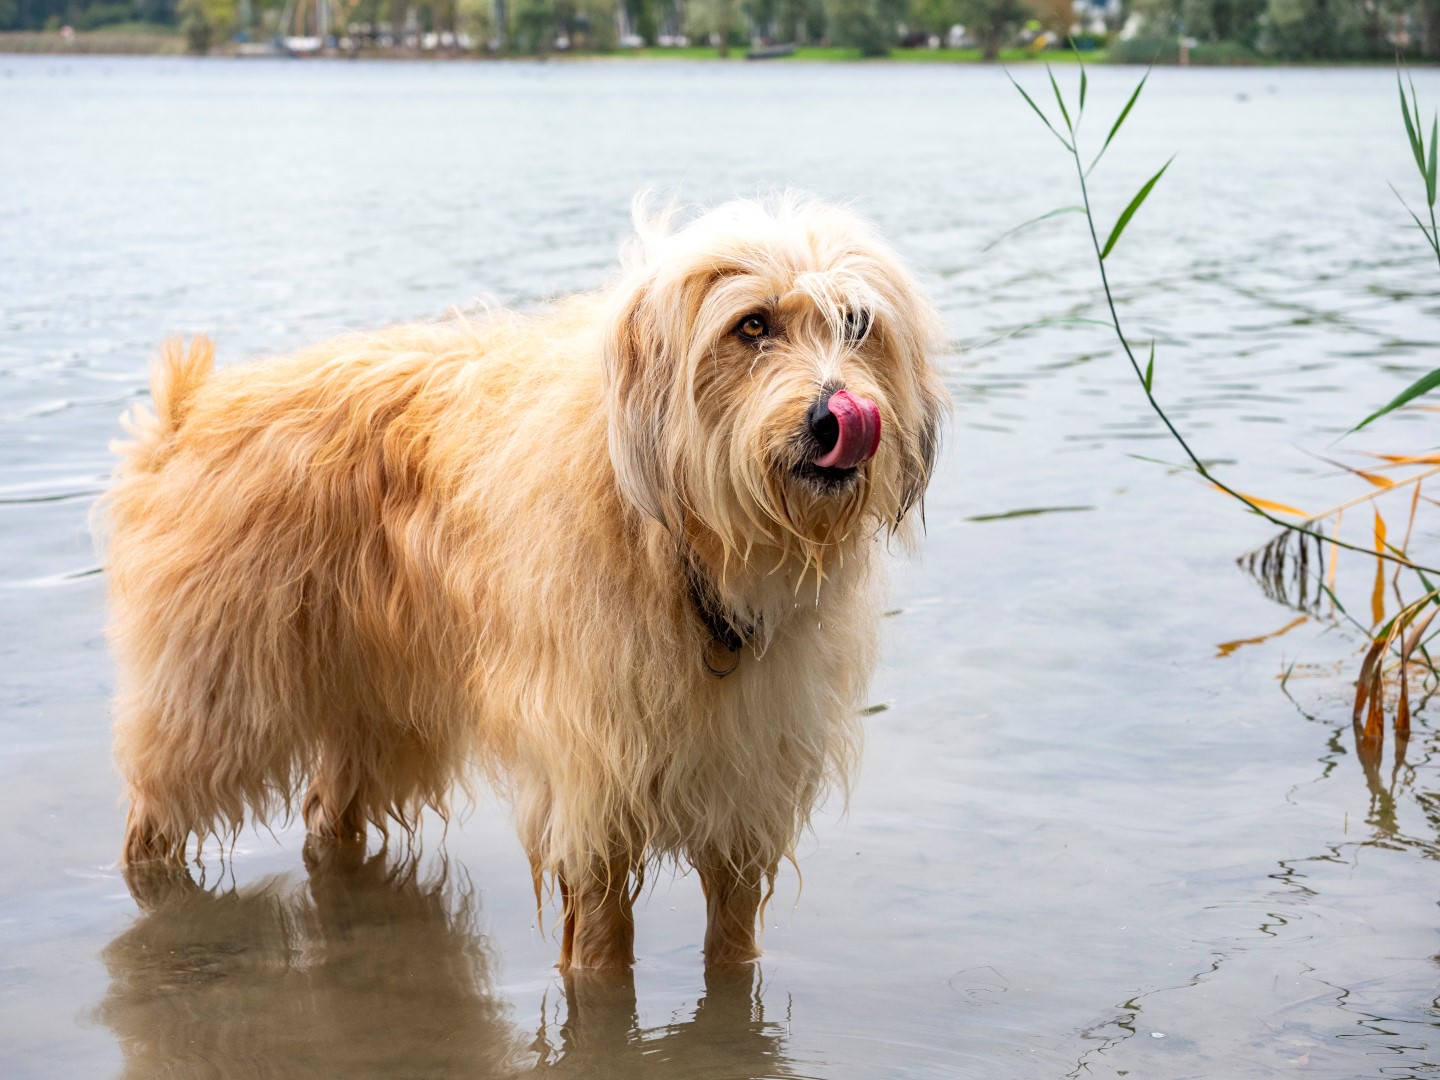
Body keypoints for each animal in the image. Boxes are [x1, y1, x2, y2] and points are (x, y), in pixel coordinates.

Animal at [98, 194, 948, 972]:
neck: (691, 552)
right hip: (215, 696)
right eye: (753, 326)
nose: (836, 416)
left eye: (858, 325)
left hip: (378, 714)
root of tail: (190, 409)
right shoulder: (592, 788)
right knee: (157, 817)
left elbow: (732, 948)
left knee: (325, 812)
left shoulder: (746, 797)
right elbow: (601, 950)